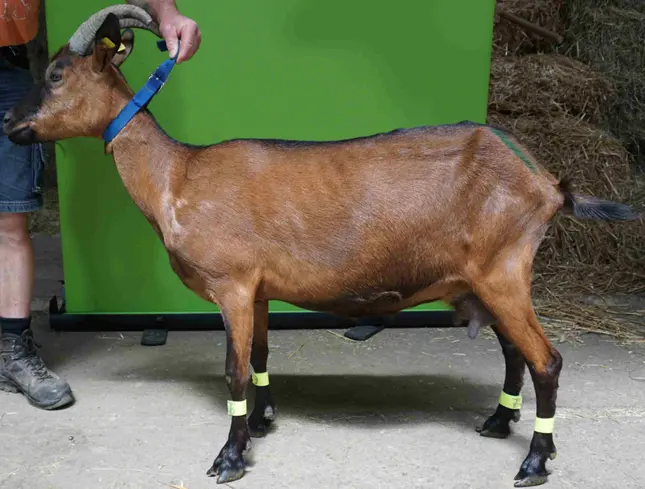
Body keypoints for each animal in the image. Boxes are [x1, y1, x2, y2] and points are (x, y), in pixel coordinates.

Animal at [3, 6, 640, 487]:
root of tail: (546, 182)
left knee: (547, 361)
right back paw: (498, 425)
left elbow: (233, 372)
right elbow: (260, 359)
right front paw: (262, 423)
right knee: (515, 355)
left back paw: (534, 461)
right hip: (485, 282)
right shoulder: (258, 292)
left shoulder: (232, 286)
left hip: (504, 272)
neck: (178, 177)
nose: (9, 120)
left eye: (56, 74)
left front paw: (229, 457)